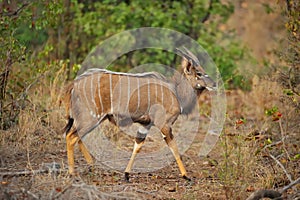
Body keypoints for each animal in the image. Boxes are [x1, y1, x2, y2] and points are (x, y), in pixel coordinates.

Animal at [62, 47, 216, 180]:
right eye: (199, 73)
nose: (214, 84)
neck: (175, 92)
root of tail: (74, 84)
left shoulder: (146, 124)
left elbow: (138, 145)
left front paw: (126, 174)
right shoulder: (164, 124)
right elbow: (174, 147)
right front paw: (186, 176)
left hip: (95, 119)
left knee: (78, 137)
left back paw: (91, 165)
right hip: (91, 118)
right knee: (71, 137)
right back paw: (72, 172)